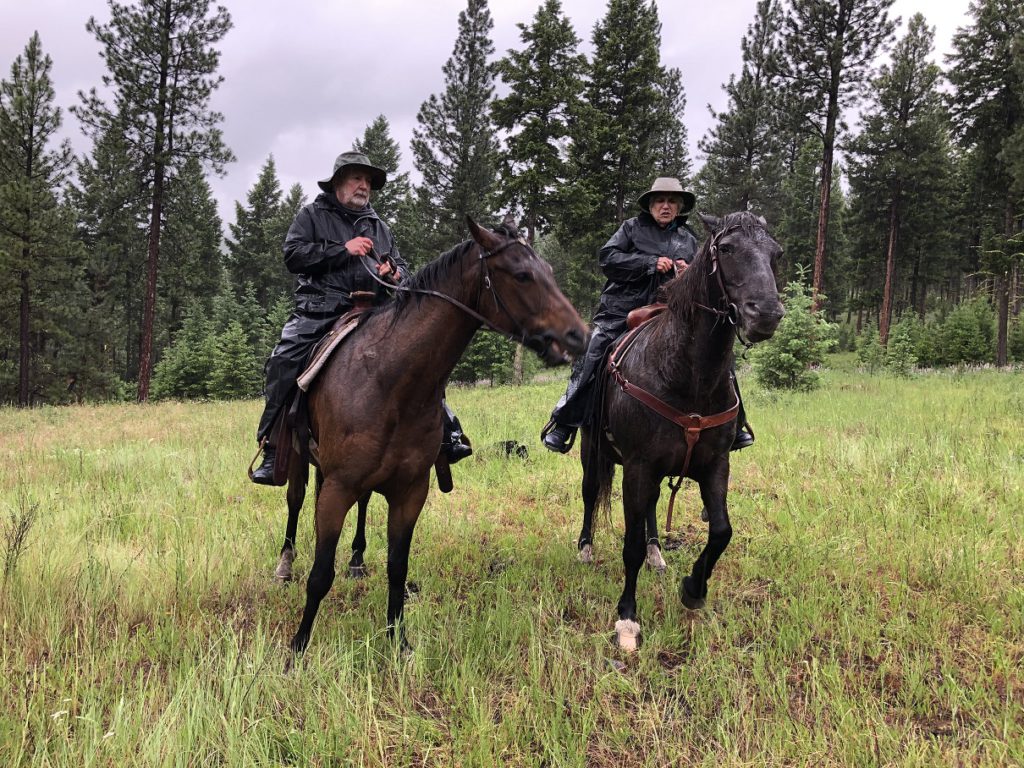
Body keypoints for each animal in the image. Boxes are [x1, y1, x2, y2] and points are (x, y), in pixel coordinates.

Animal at [280, 218, 589, 655]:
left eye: (547, 270)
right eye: (522, 275)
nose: (579, 336)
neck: (391, 382)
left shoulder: (411, 490)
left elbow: (397, 567)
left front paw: (398, 640)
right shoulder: (339, 487)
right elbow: (321, 573)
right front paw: (299, 646)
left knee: (361, 505)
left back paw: (356, 559)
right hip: (296, 458)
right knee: (295, 500)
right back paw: (285, 564)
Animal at [585, 214, 782, 651]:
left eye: (776, 253)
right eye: (726, 248)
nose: (766, 313)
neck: (687, 375)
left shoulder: (715, 465)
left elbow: (721, 531)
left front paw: (694, 588)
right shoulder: (637, 466)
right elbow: (629, 545)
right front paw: (627, 619)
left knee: (653, 508)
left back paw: (658, 554)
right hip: (593, 450)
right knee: (590, 494)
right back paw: (585, 548)